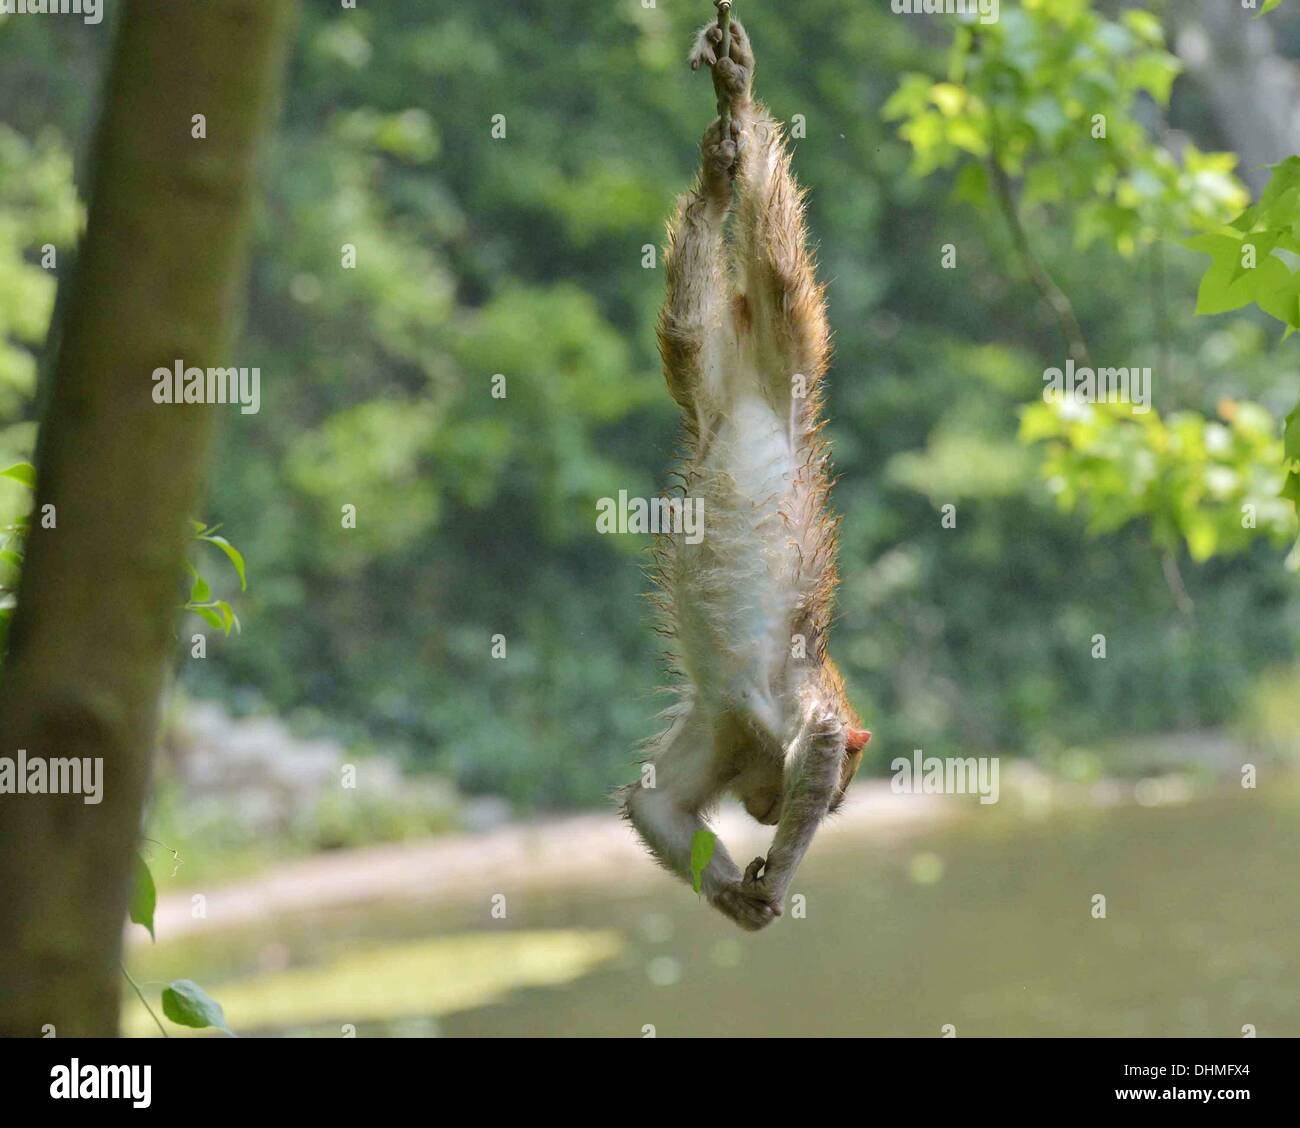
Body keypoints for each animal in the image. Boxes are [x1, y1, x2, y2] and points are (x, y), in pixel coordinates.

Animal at [620, 13, 871, 932]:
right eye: (834, 802)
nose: (772, 811)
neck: (759, 742)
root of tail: (760, 384)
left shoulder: (726, 727)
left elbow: (654, 803)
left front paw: (734, 893)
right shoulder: (777, 708)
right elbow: (822, 739)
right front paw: (777, 880)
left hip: (715, 376)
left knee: (689, 326)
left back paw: (716, 175)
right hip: (793, 349)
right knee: (779, 267)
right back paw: (746, 128)